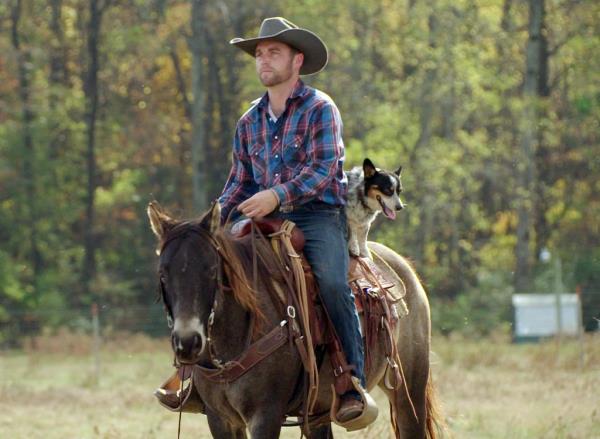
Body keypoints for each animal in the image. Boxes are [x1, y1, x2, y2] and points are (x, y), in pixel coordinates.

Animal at [148, 200, 442, 439]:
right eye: (162, 274)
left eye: (211, 271)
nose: (188, 343)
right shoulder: (220, 419)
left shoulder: (266, 415)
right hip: (318, 411)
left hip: (409, 393)